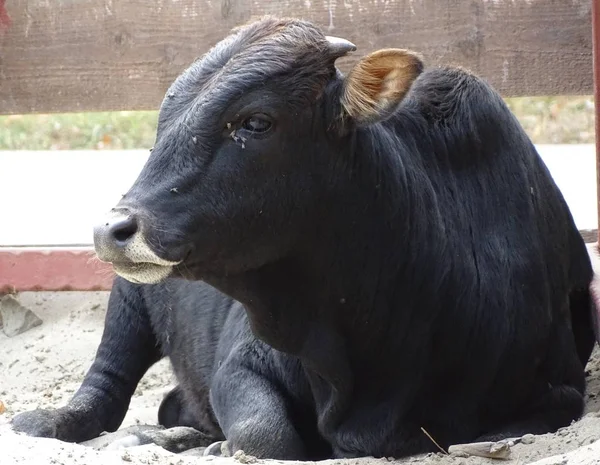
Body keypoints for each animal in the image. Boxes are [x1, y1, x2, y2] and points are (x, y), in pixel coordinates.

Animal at [10, 16, 600, 458]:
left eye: (255, 122)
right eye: (163, 120)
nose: (113, 228)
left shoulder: (559, 392)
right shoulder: (242, 361)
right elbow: (265, 434)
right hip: (130, 298)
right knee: (106, 386)